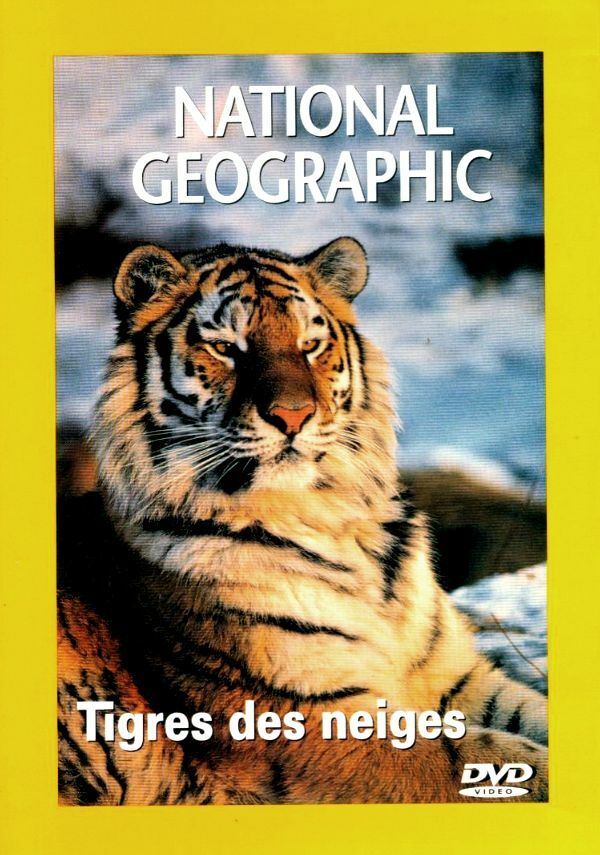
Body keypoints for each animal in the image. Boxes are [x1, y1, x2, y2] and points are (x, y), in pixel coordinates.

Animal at [58, 237, 548, 805]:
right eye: (226, 348)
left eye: (310, 344)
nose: (292, 416)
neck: (327, 517)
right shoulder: (307, 719)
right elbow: (504, 760)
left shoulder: (458, 678)